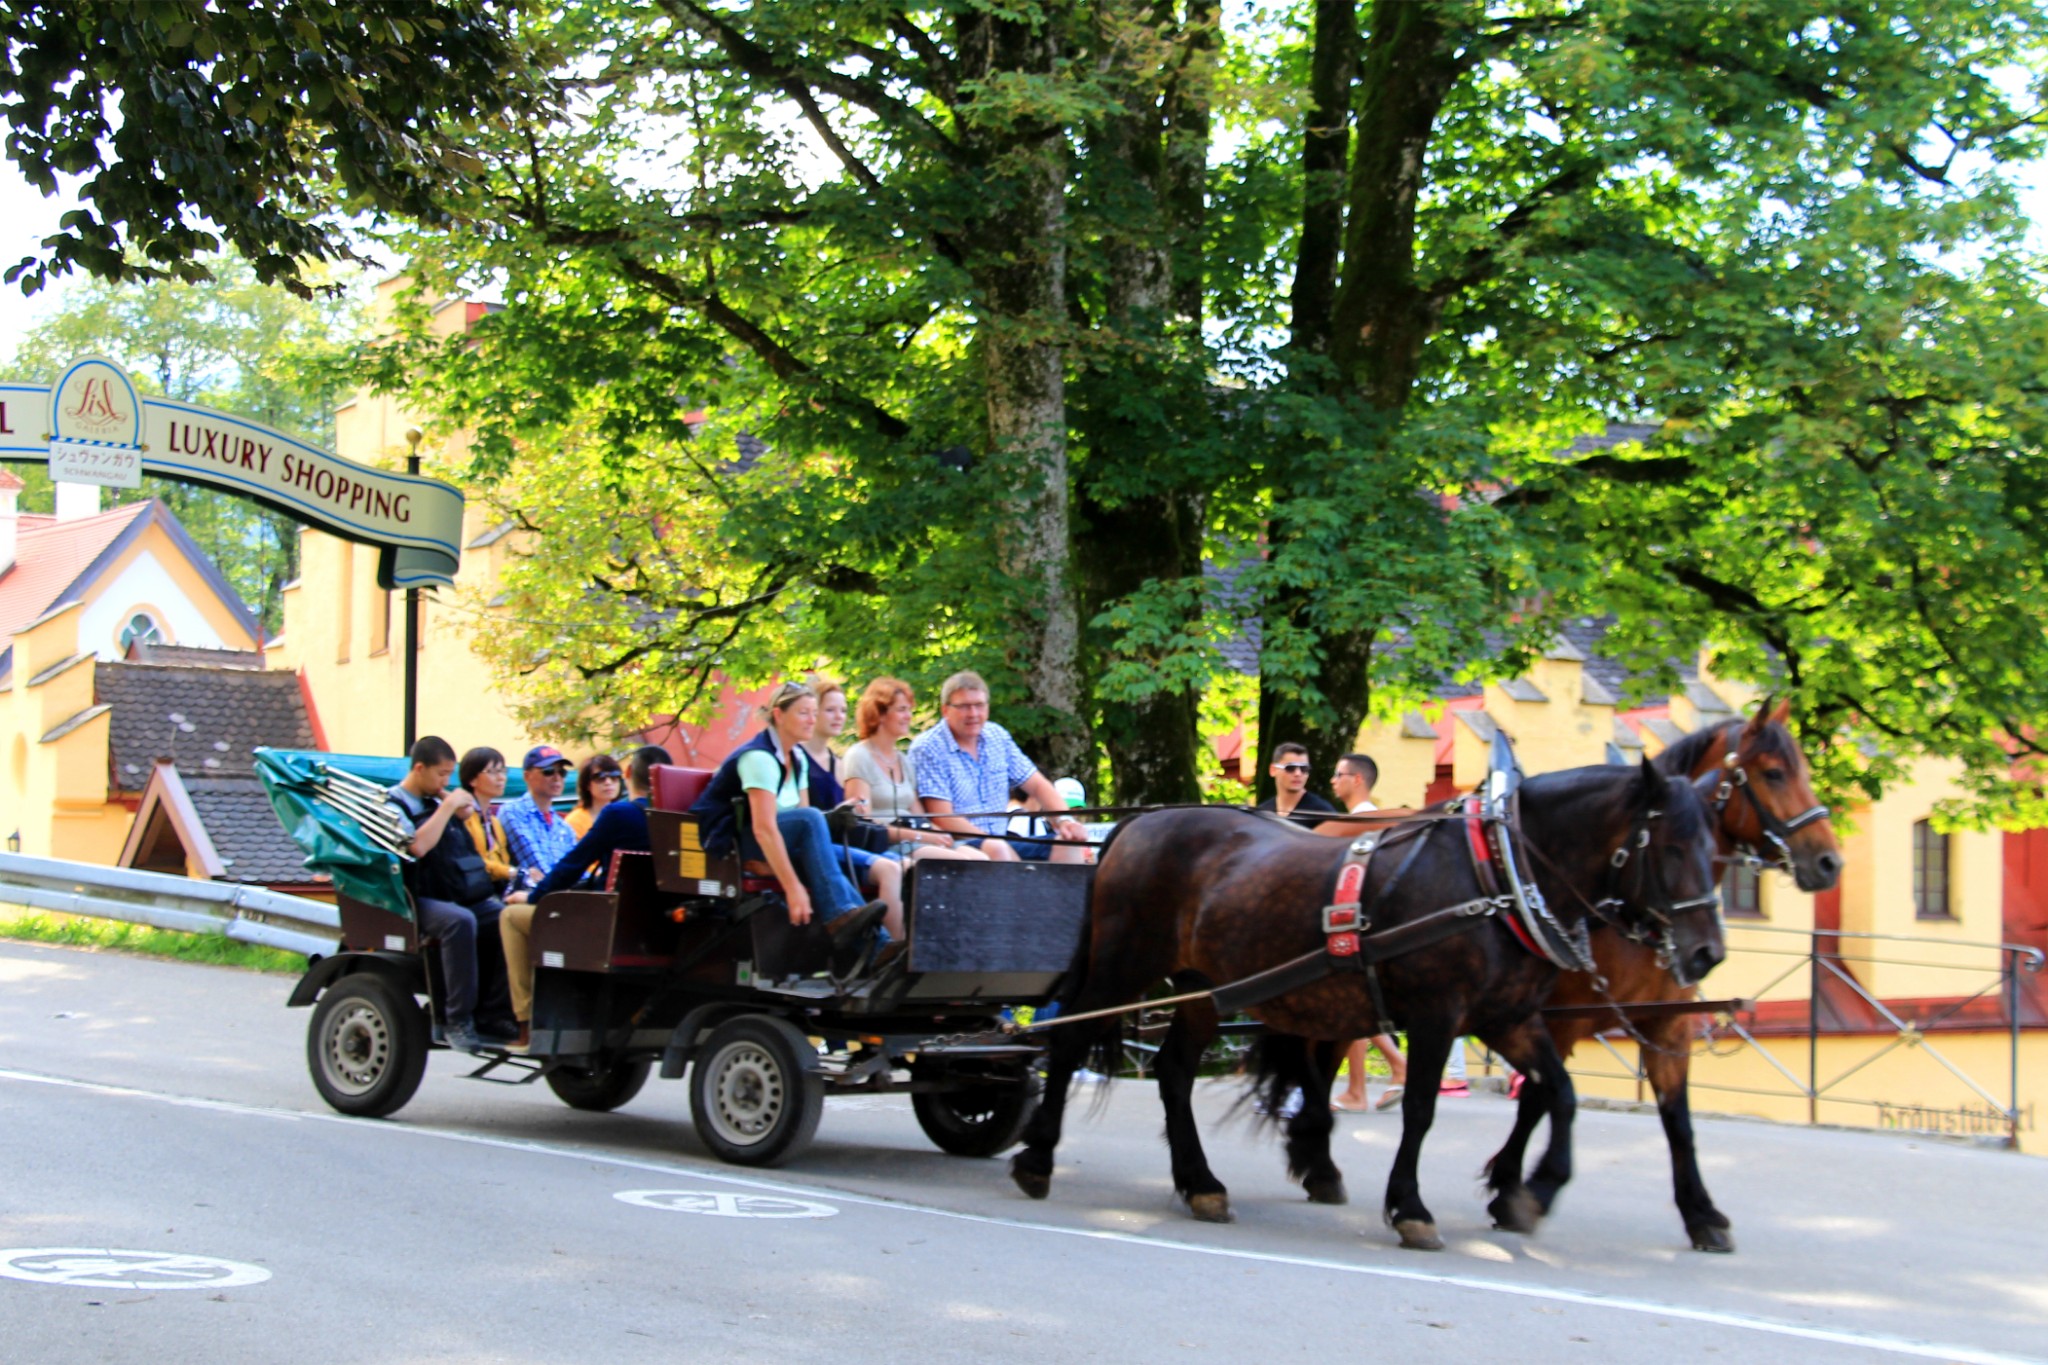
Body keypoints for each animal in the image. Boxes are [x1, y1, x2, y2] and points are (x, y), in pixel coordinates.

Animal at [1015, 757, 1720, 1252]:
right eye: (1671, 847)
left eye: (1714, 849)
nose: (1706, 953)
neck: (1495, 876)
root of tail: (1137, 822)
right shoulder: (1437, 1016)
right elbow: (1420, 1111)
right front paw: (1412, 1209)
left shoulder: (1508, 1019)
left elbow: (1560, 1093)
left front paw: (1531, 1193)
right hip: (1122, 966)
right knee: (1070, 1041)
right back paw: (1038, 1159)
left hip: (1204, 988)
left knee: (1174, 1073)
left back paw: (1202, 1184)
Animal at [1515, 699, 1851, 1252]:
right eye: (1774, 773)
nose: (1829, 862)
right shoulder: (1555, 1022)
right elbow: (1541, 1097)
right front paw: (1519, 1187)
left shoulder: (1668, 1025)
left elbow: (1678, 1121)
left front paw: (1700, 1212)